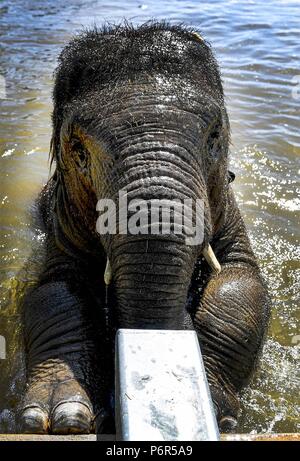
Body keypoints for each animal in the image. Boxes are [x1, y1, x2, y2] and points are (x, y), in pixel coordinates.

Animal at [19, 23, 270, 434]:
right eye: (79, 150)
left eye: (214, 136)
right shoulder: (62, 219)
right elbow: (56, 292)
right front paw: (61, 419)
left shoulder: (227, 208)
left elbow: (240, 283)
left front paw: (215, 410)